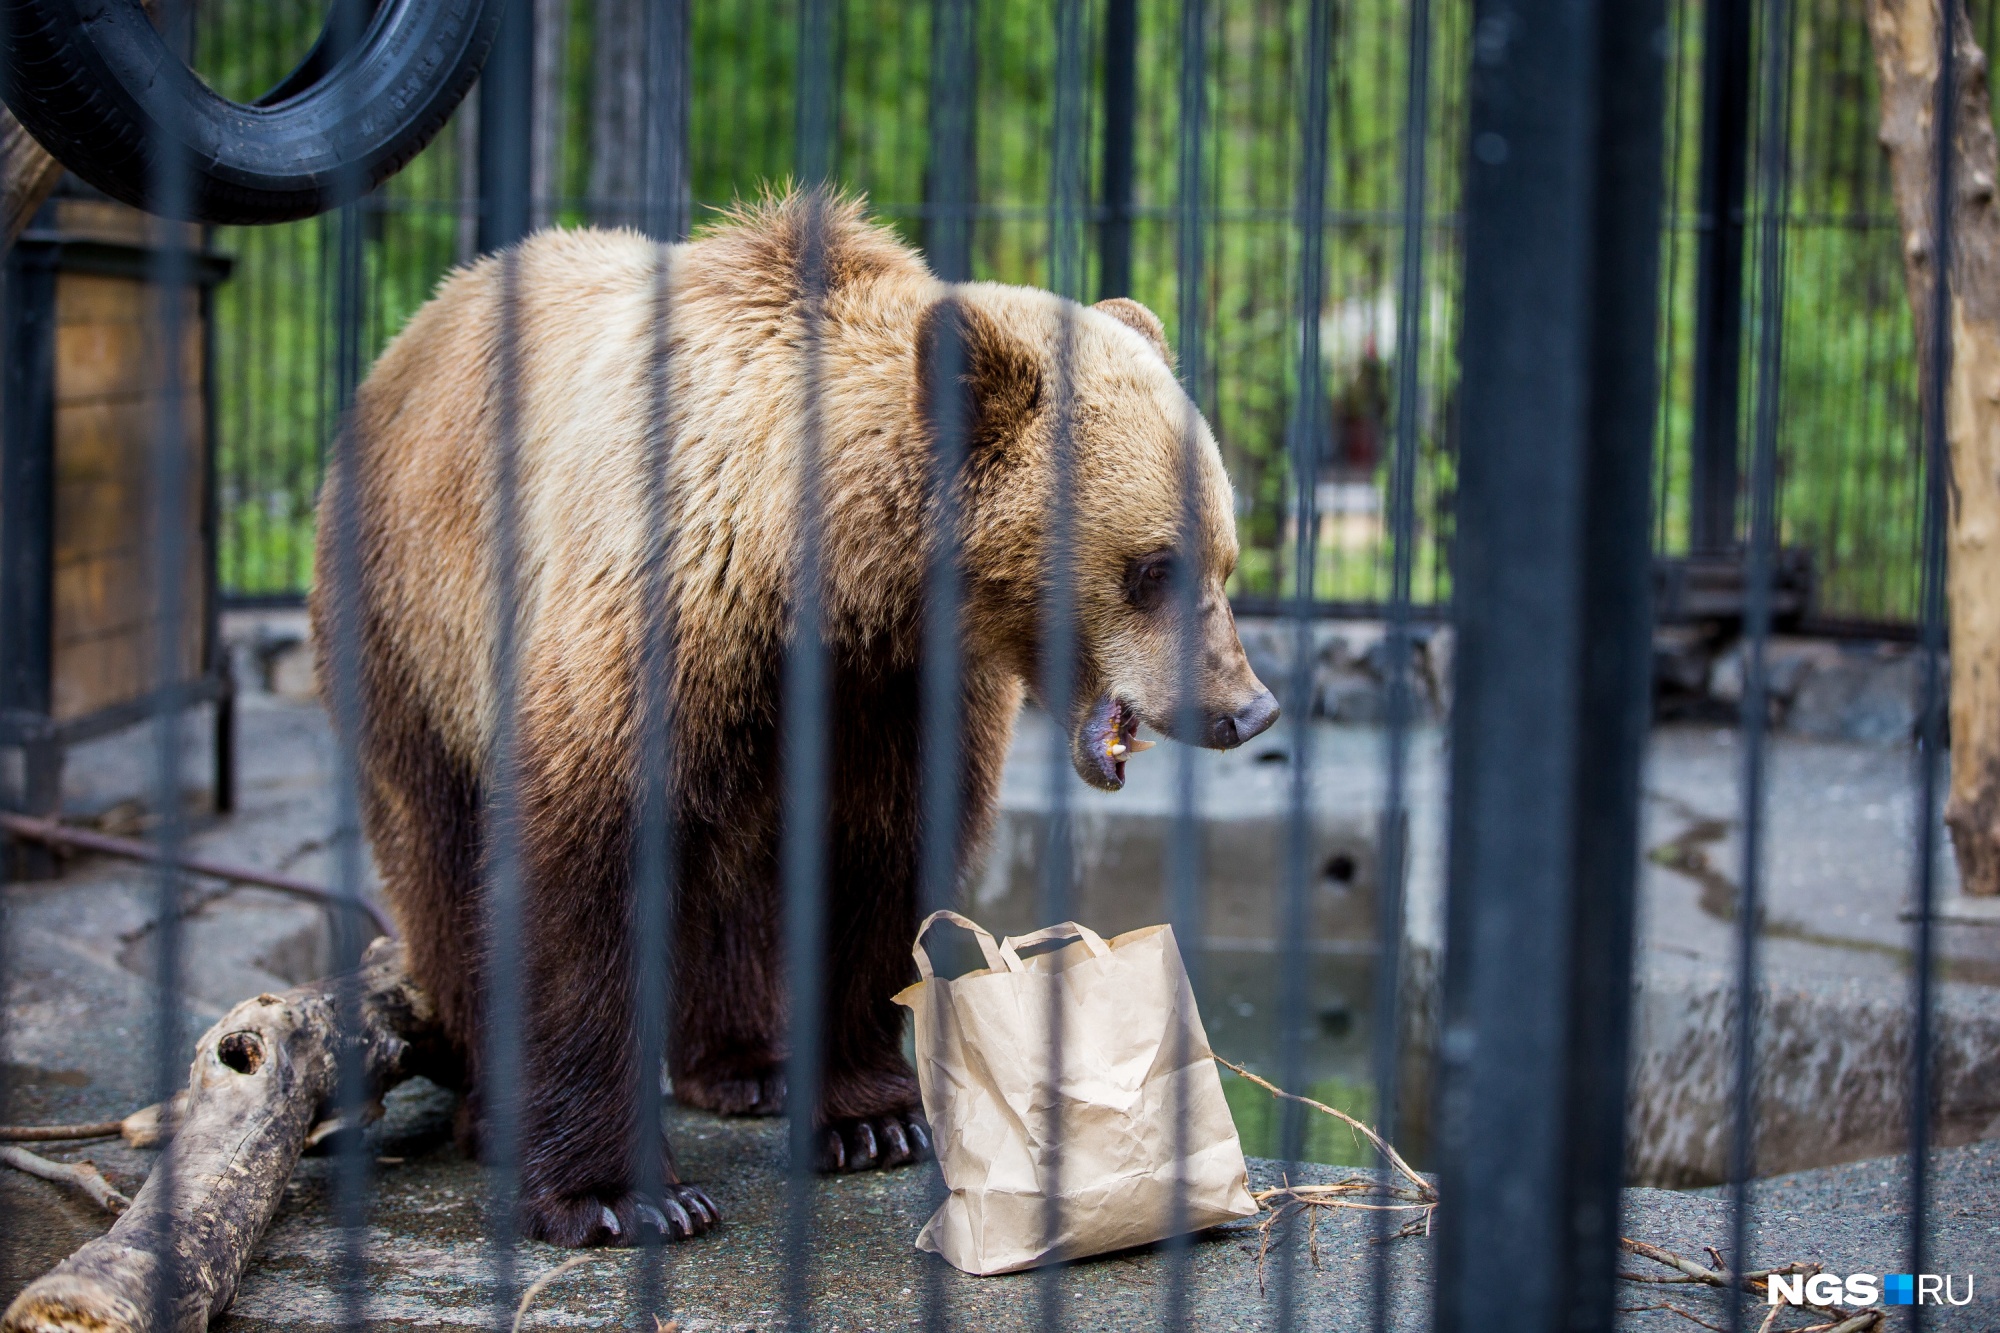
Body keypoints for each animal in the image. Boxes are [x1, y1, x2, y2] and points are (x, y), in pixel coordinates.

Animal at [312, 189, 1280, 1248]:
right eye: (1155, 566)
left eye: (1225, 559)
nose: (1247, 708)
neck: (827, 574)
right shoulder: (658, 618)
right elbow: (589, 869)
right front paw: (622, 1194)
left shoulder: (892, 688)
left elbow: (874, 864)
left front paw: (871, 1119)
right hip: (413, 625)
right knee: (444, 862)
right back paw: (494, 1103)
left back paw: (746, 1063)